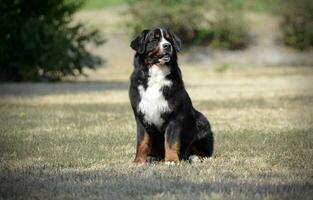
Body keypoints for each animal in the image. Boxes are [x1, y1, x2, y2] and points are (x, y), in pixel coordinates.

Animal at [128, 27, 213, 164]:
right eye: (155, 39)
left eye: (169, 39)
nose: (167, 46)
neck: (157, 74)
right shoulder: (141, 116)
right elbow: (142, 141)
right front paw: (139, 161)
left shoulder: (174, 115)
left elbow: (171, 140)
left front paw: (171, 160)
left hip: (202, 121)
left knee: (204, 153)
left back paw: (194, 157)